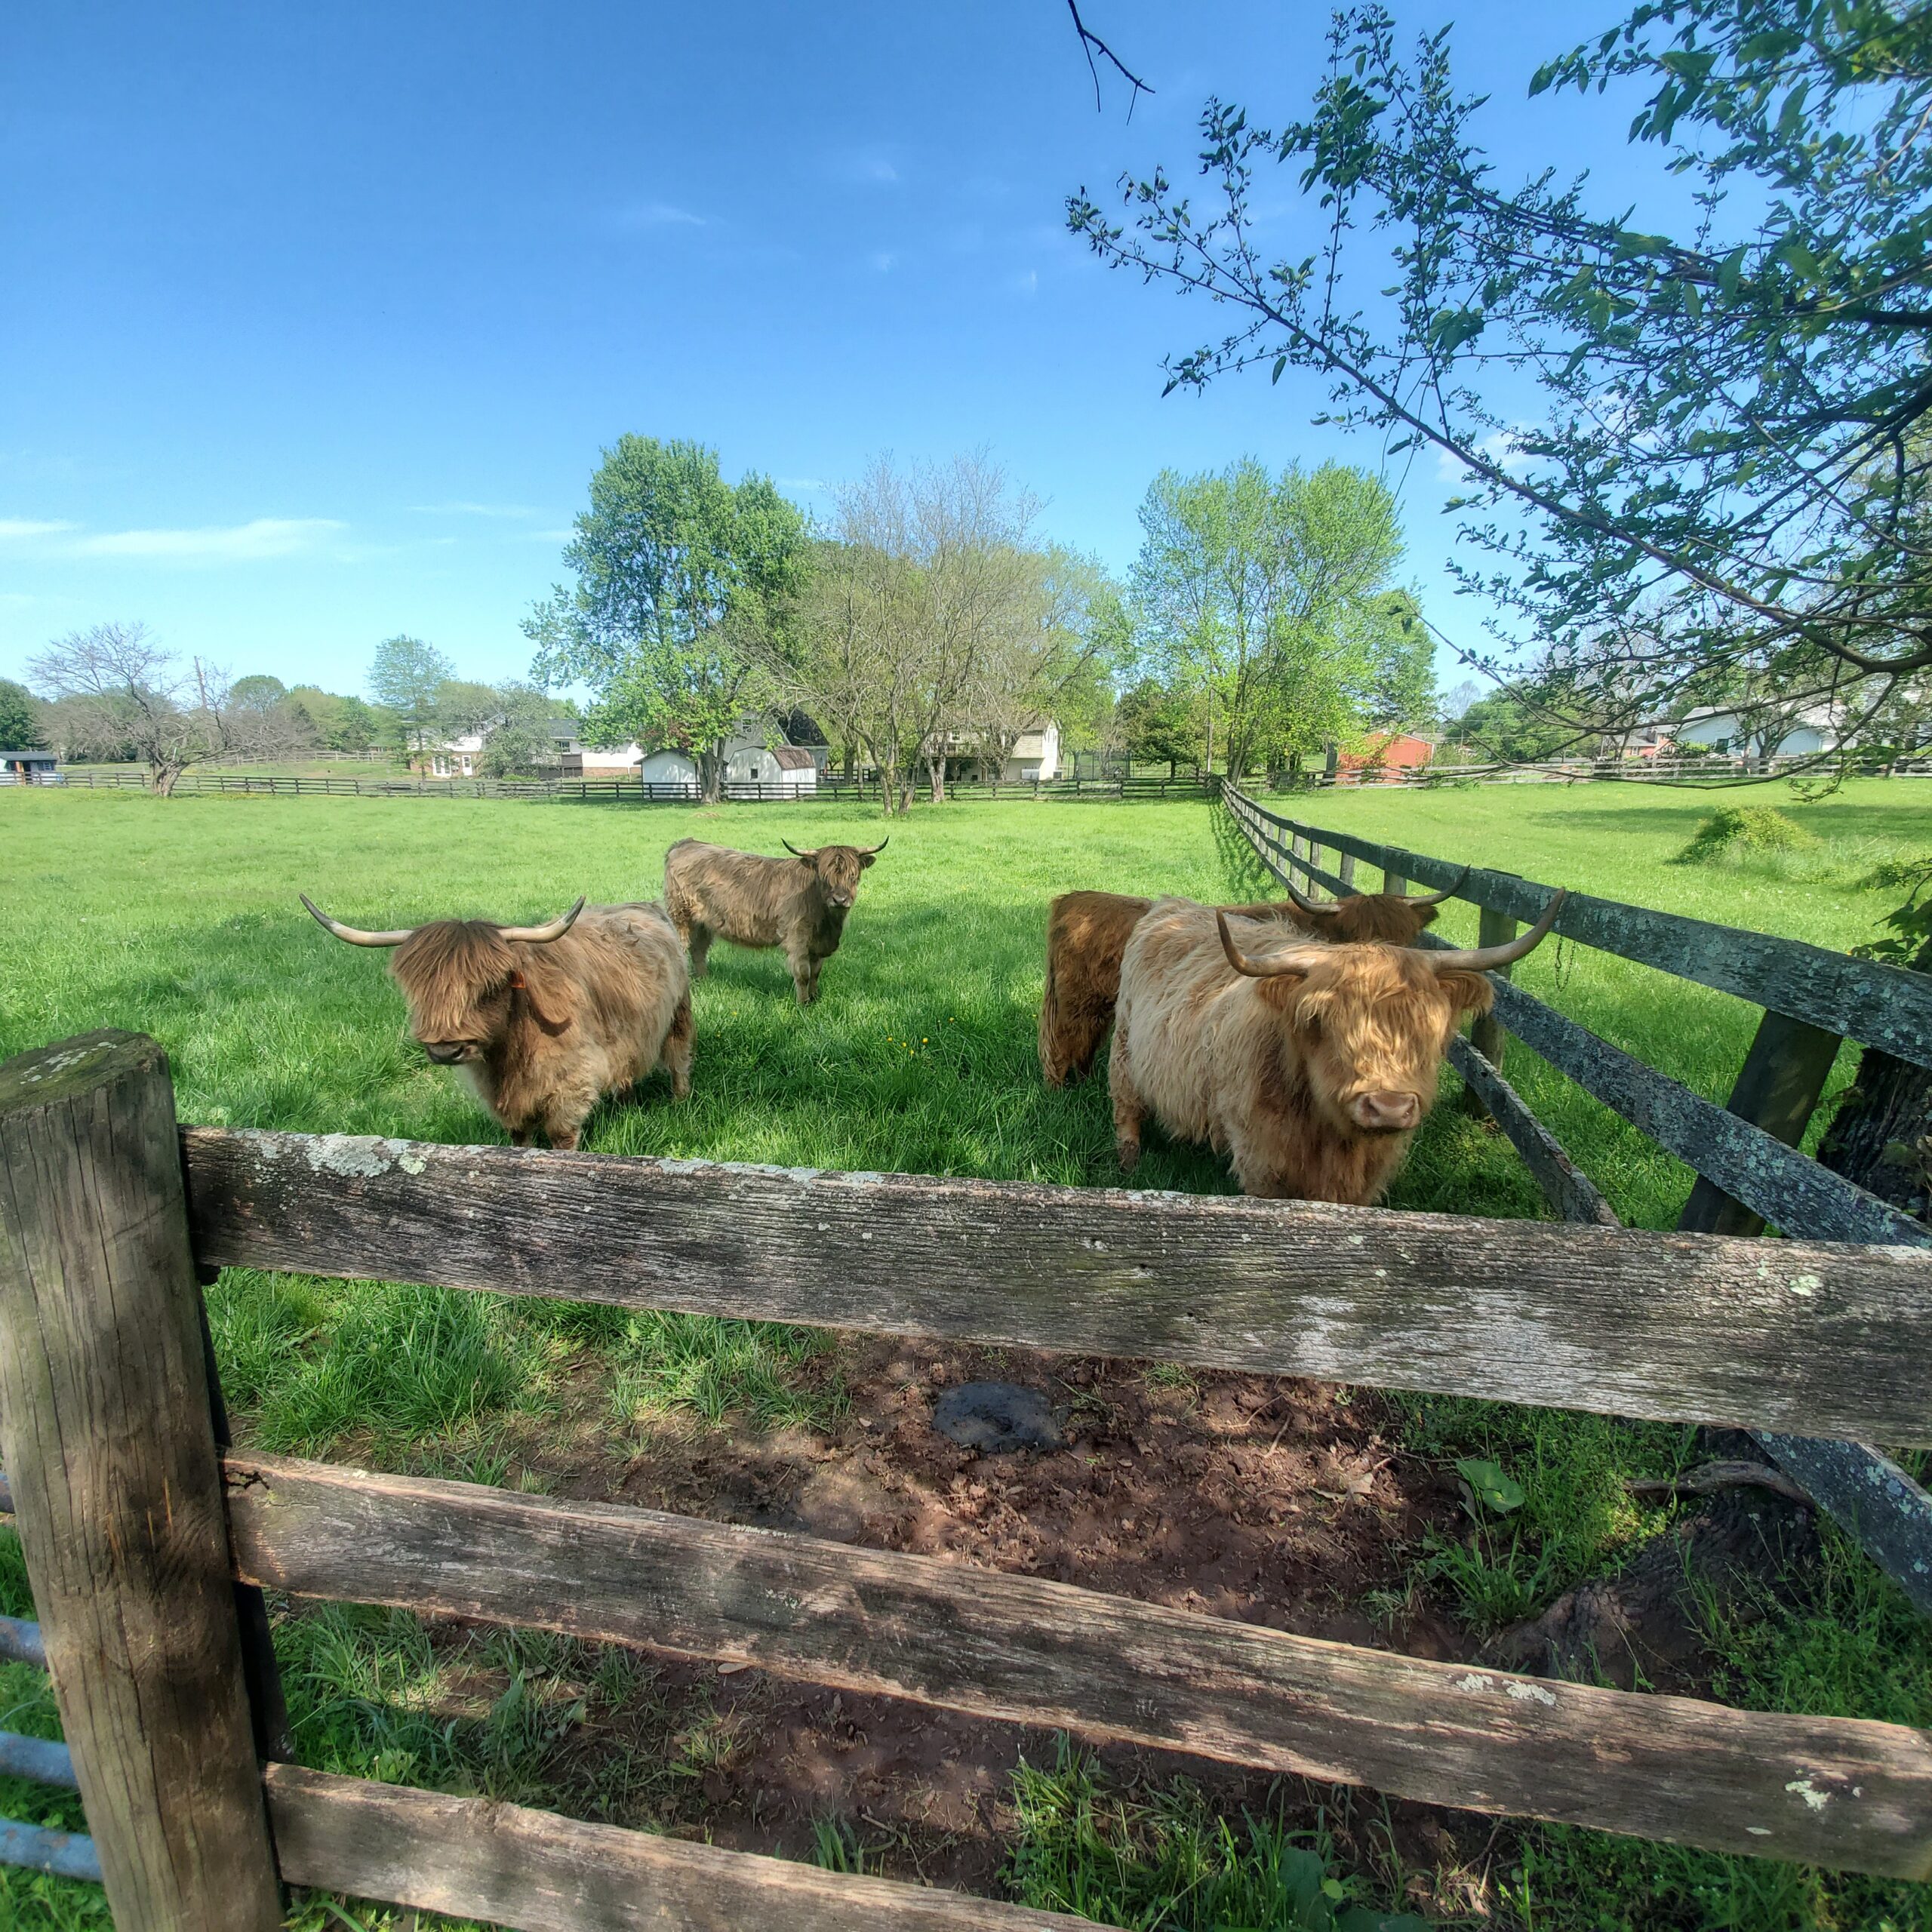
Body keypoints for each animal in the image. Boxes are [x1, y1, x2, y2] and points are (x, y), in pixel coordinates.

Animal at [301, 894, 692, 1150]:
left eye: (490, 987)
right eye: (419, 991)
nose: (446, 1050)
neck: (510, 1054)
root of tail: (646, 906)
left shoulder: (570, 1085)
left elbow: (562, 1137)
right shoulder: (504, 1100)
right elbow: (519, 1138)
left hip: (679, 1015)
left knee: (679, 1059)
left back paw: (679, 1103)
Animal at [663, 836, 886, 1006]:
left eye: (854, 876)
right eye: (824, 877)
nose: (840, 900)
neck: (827, 923)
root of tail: (685, 843)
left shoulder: (818, 945)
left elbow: (816, 973)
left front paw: (815, 998)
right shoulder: (797, 941)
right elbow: (804, 975)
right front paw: (803, 1005)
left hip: (703, 923)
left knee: (699, 950)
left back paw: (704, 981)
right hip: (680, 917)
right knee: (683, 949)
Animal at [1108, 889, 1564, 1204]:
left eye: (1429, 1024)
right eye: (1319, 1021)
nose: (1388, 1107)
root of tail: (1170, 906)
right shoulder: (1261, 1161)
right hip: (1126, 1044)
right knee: (1126, 1102)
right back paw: (1129, 1163)